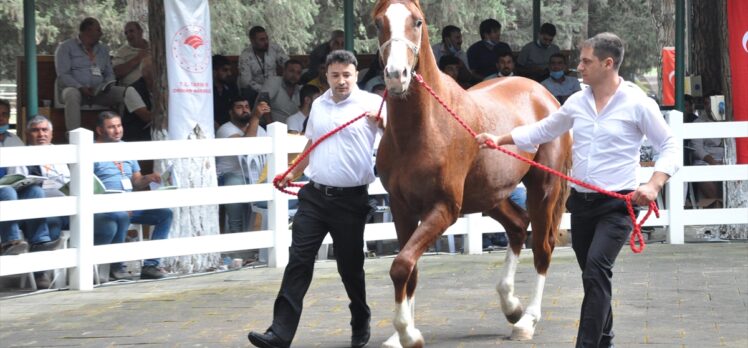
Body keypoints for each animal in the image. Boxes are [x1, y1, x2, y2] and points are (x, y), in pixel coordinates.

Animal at [372, 1, 572, 346]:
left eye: (417, 22)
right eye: (378, 23)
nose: (397, 76)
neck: (423, 127)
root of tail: (543, 94)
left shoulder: (444, 208)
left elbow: (401, 265)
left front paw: (408, 332)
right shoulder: (401, 207)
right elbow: (410, 269)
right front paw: (400, 334)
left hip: (543, 188)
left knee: (542, 248)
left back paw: (527, 320)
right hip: (489, 195)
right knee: (517, 226)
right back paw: (511, 305)